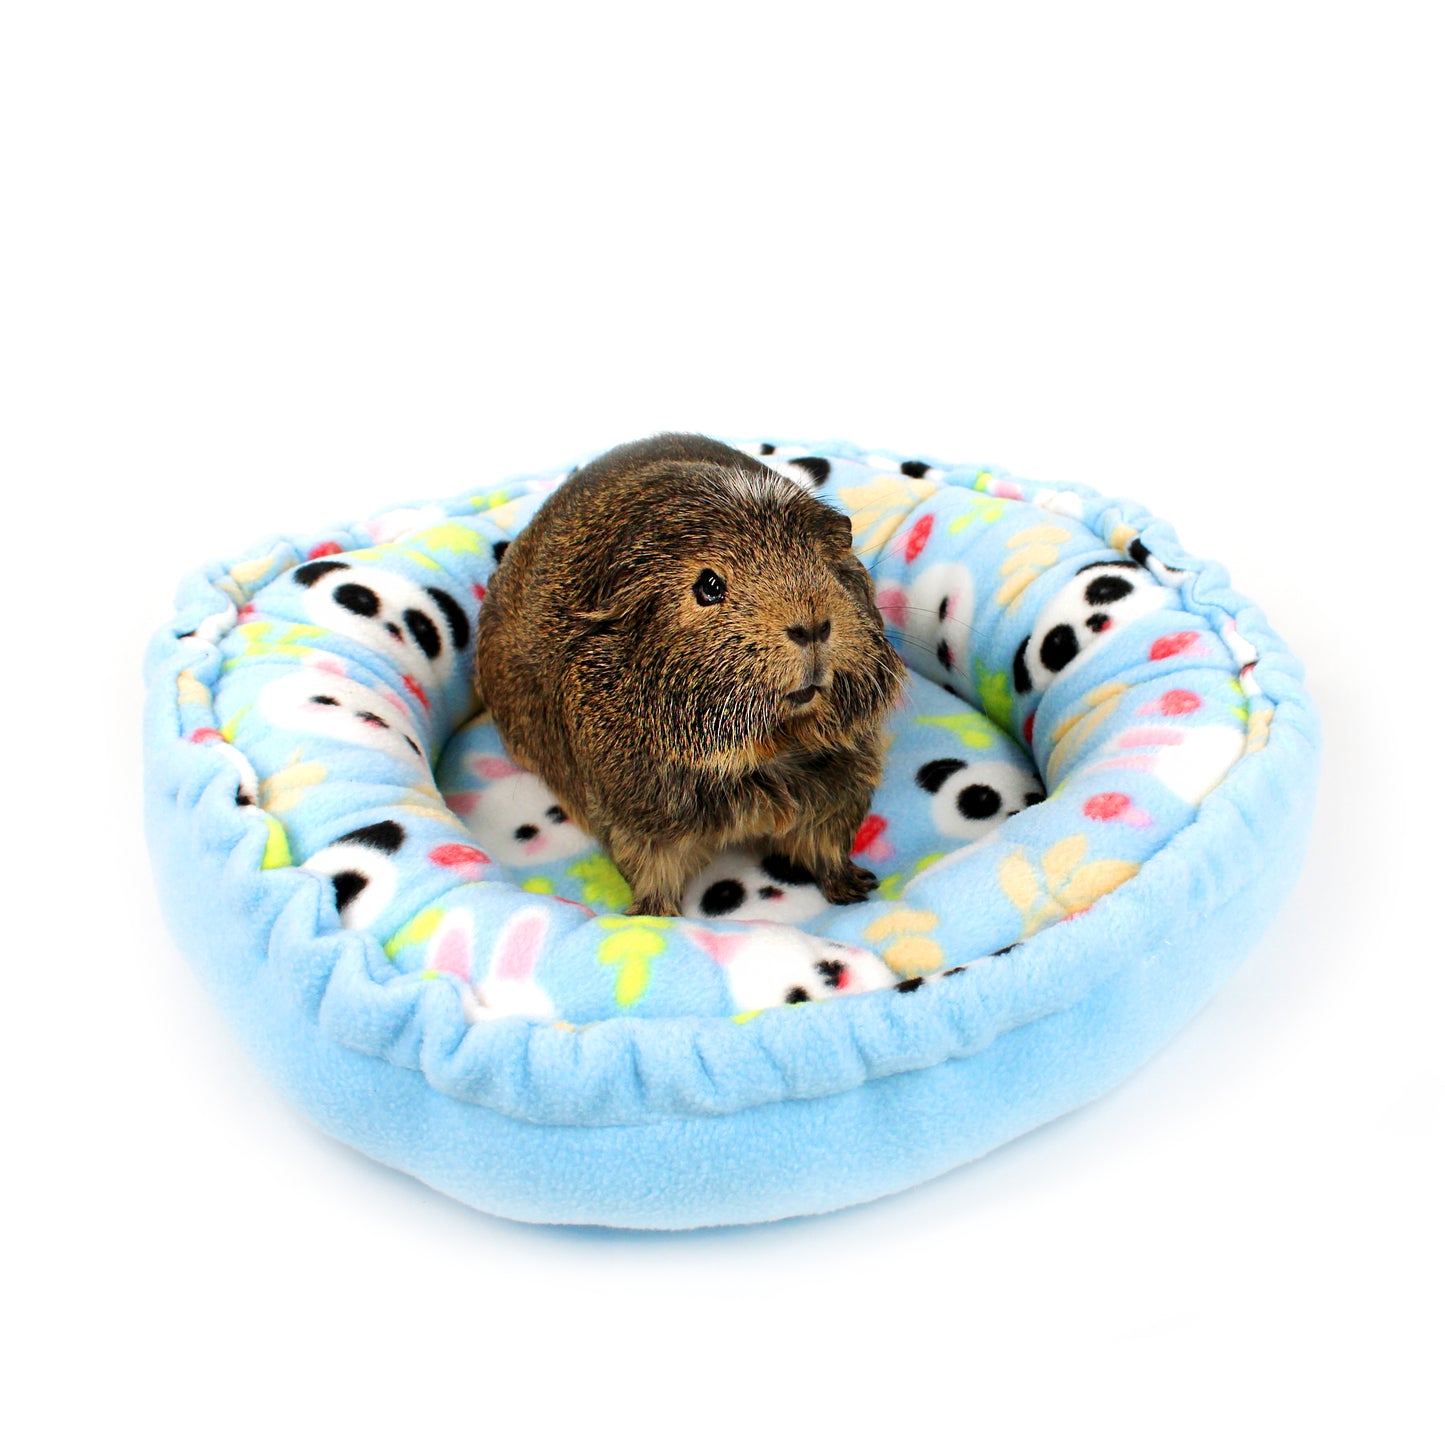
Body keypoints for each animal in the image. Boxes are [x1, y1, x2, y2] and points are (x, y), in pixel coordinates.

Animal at [472, 433, 906, 917]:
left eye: (822, 564)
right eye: (709, 586)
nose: (811, 626)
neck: (769, 752)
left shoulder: (839, 792)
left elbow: (828, 850)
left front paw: (858, 889)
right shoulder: (638, 823)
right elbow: (653, 877)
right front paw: (655, 919)